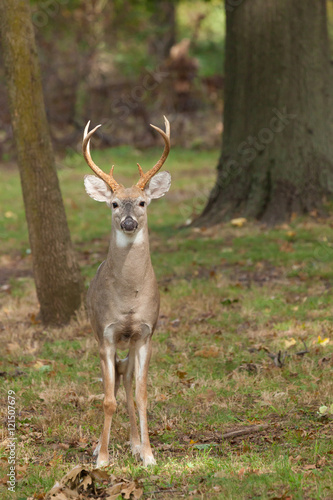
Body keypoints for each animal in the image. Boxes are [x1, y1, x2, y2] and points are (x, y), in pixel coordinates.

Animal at [81, 115, 171, 466]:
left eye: (143, 201)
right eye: (114, 203)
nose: (129, 222)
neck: (128, 297)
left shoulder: (145, 332)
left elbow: (142, 393)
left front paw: (148, 454)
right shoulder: (106, 333)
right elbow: (107, 399)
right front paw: (102, 458)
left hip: (131, 341)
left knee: (127, 376)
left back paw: (133, 442)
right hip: (98, 333)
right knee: (116, 379)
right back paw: (99, 445)